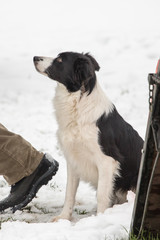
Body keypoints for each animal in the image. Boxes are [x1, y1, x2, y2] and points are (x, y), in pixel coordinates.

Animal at [33, 51, 143, 220]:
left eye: (60, 60)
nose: (34, 58)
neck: (77, 102)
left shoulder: (107, 160)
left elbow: (102, 195)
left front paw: (100, 219)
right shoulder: (73, 159)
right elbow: (69, 193)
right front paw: (64, 218)